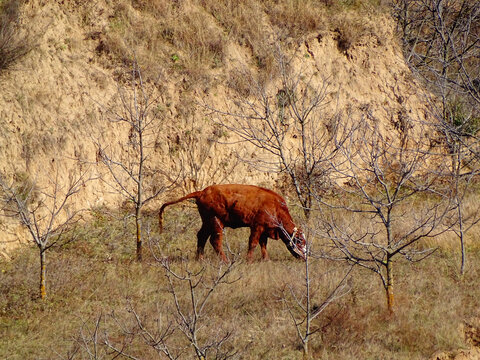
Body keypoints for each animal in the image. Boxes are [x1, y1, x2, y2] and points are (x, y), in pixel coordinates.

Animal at [159, 186, 306, 262]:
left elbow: (263, 244)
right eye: (299, 241)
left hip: (207, 223)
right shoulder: (257, 227)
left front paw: (266, 259)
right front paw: (249, 260)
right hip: (216, 223)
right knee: (215, 241)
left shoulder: (264, 229)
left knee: (201, 236)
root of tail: (202, 192)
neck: (276, 207)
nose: (305, 256)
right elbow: (253, 243)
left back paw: (200, 258)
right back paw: (225, 261)